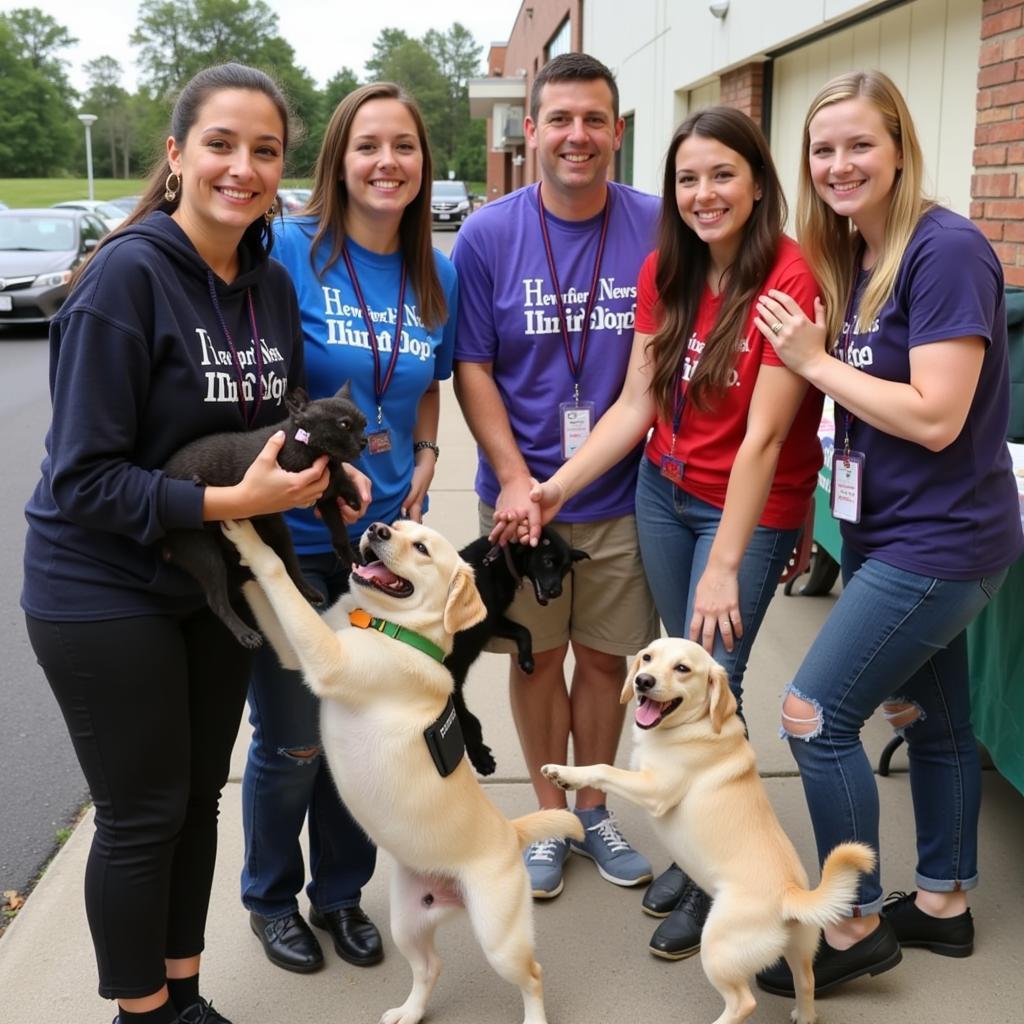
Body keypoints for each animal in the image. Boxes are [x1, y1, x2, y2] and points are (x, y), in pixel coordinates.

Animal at [159, 385, 368, 647]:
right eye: (344, 425)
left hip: (278, 531)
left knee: (291, 565)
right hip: (204, 553)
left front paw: (353, 554)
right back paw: (245, 633)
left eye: (365, 424)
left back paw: (309, 591)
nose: (364, 441)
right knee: (217, 601)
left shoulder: (326, 499)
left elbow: (340, 533)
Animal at [450, 528, 593, 774]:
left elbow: (524, 631)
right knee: (465, 720)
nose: (557, 591)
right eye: (548, 561)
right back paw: (481, 758)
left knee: (469, 719)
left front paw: (527, 660)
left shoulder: (493, 621)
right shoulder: (487, 620)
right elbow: (524, 630)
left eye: (566, 568)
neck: (496, 561)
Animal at [540, 638, 876, 1024]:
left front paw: (565, 772)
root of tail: (790, 894)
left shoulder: (654, 790)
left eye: (683, 669)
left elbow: (602, 769)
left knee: (743, 1003)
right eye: (647, 658)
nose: (642, 681)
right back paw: (804, 1015)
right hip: (800, 950)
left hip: (717, 949)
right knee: (806, 982)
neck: (691, 726)